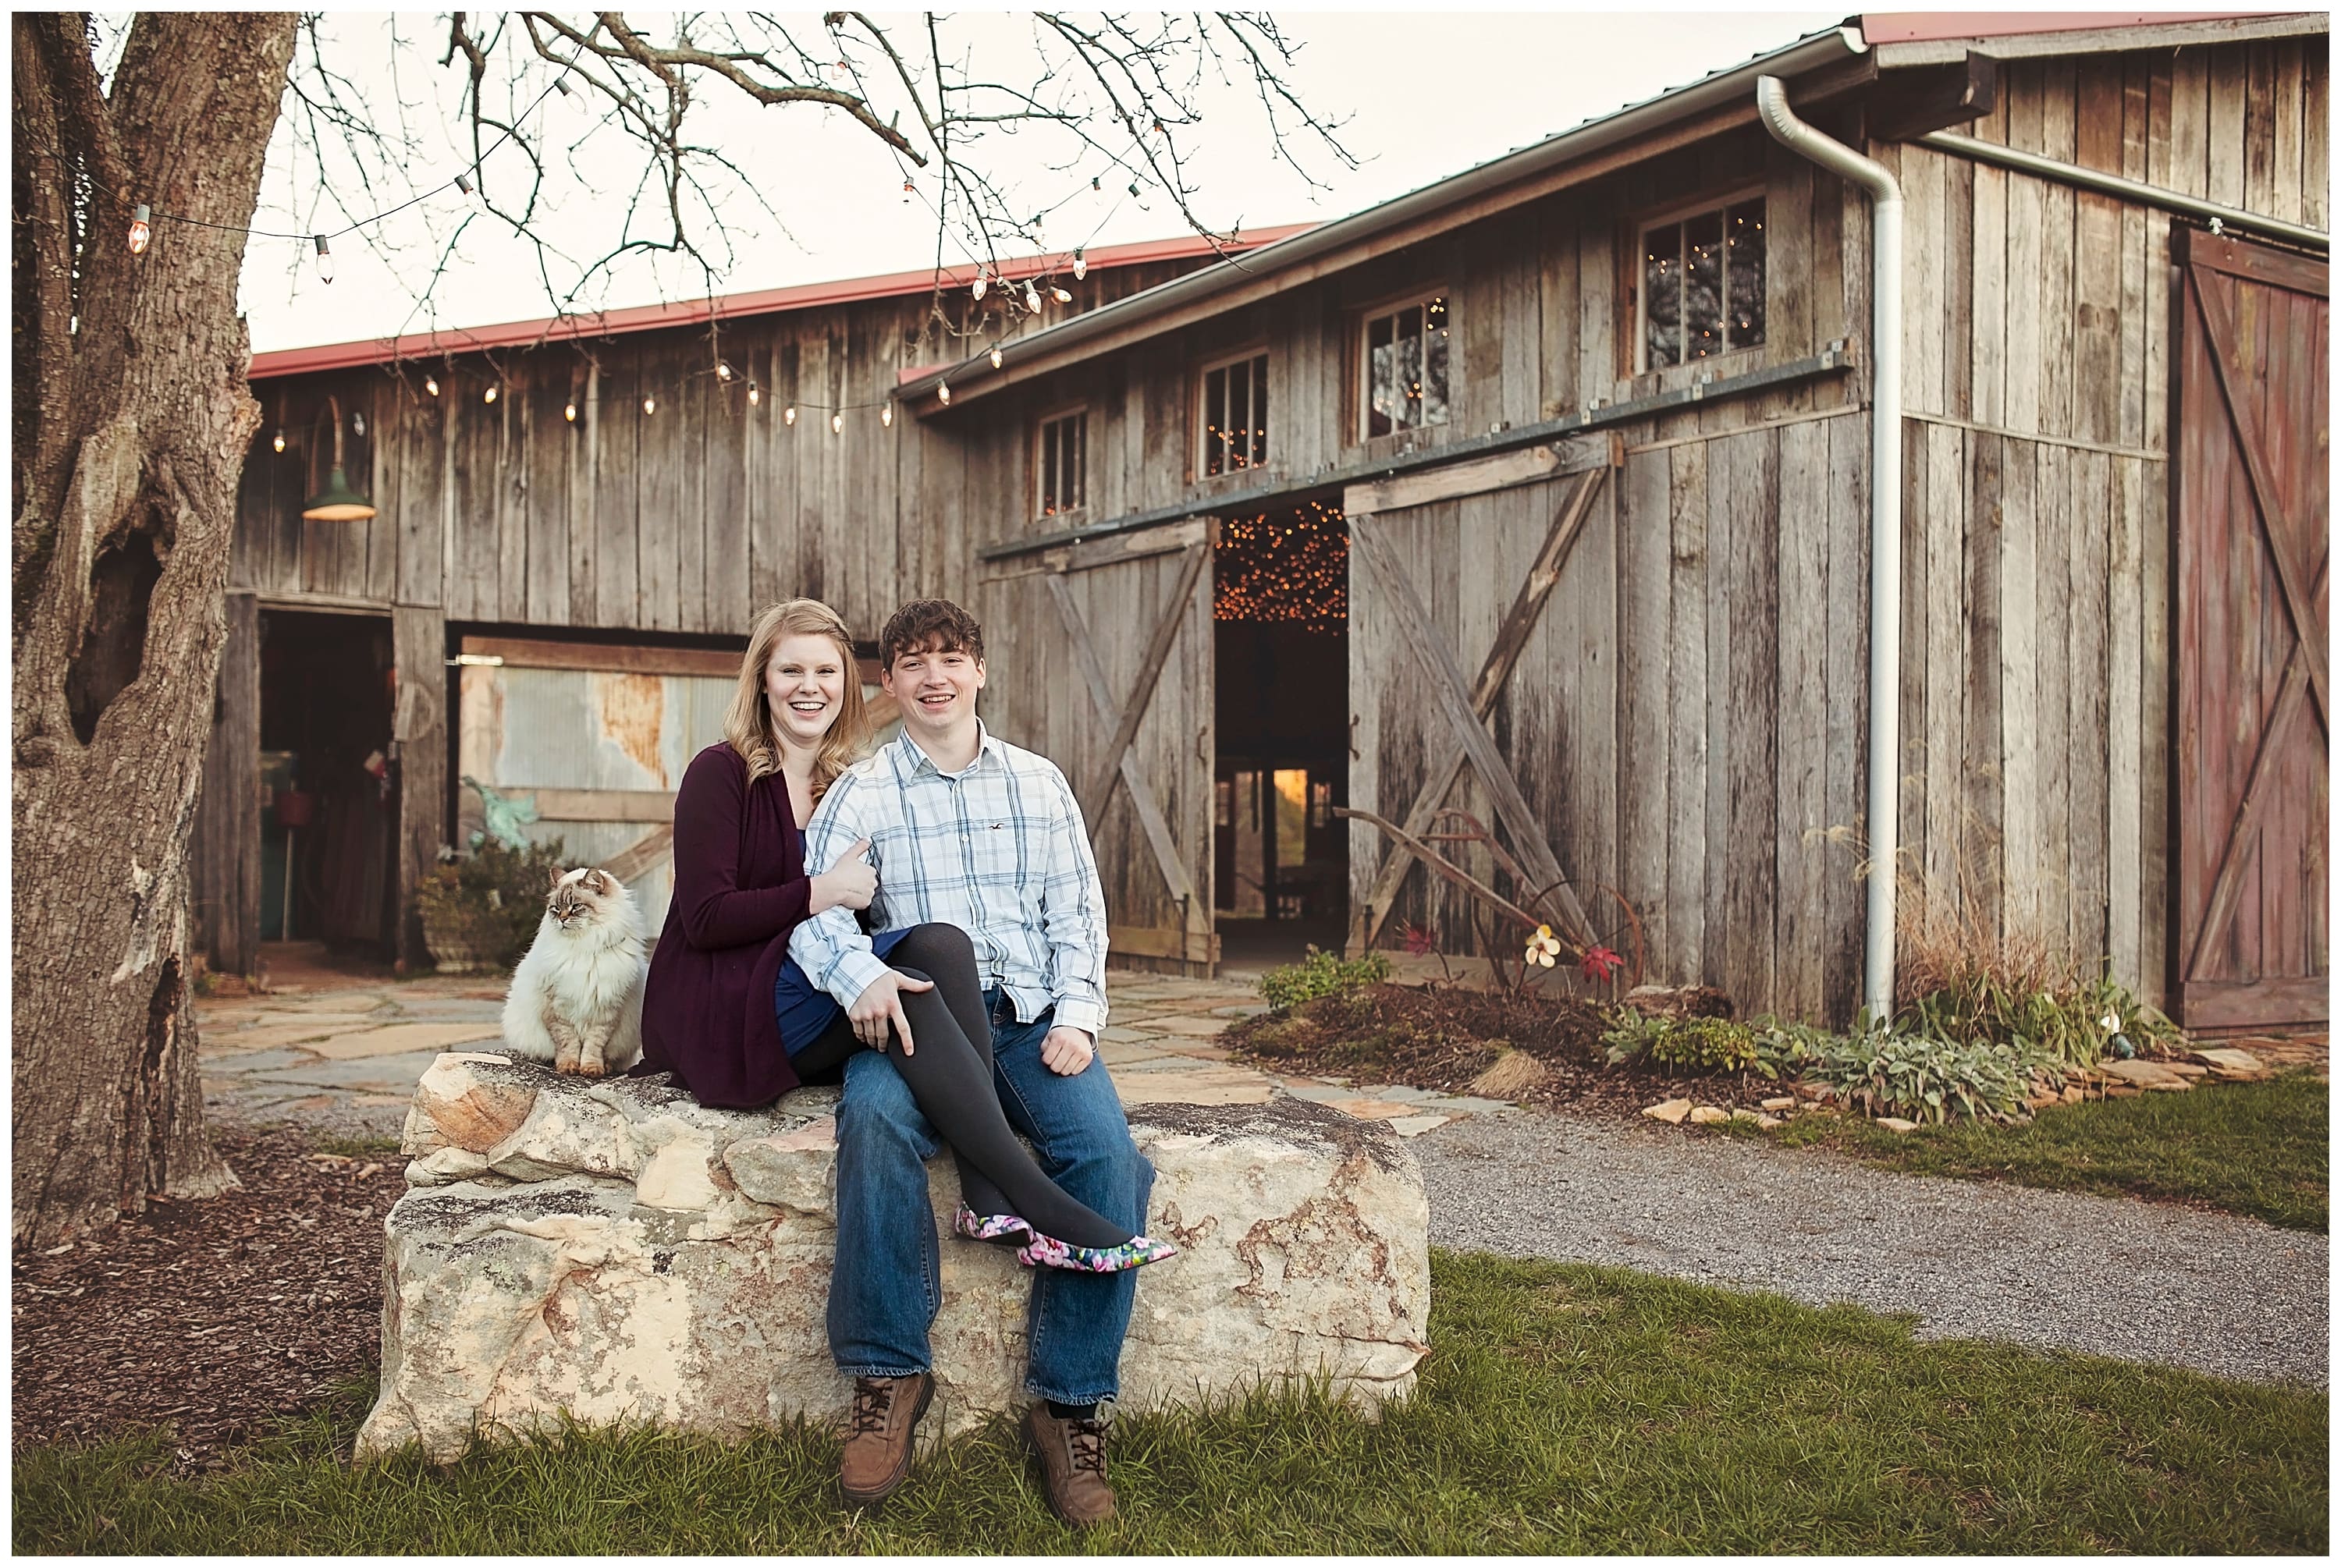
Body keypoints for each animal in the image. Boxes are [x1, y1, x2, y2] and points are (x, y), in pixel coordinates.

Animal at [501, 866, 646, 1077]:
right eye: (555, 908)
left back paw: (607, 1067)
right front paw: (568, 1067)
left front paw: (591, 1069)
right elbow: (568, 1044)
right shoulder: (558, 1010)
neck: (585, 947)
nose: (562, 919)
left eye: (576, 906)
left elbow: (593, 1048)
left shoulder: (605, 1012)